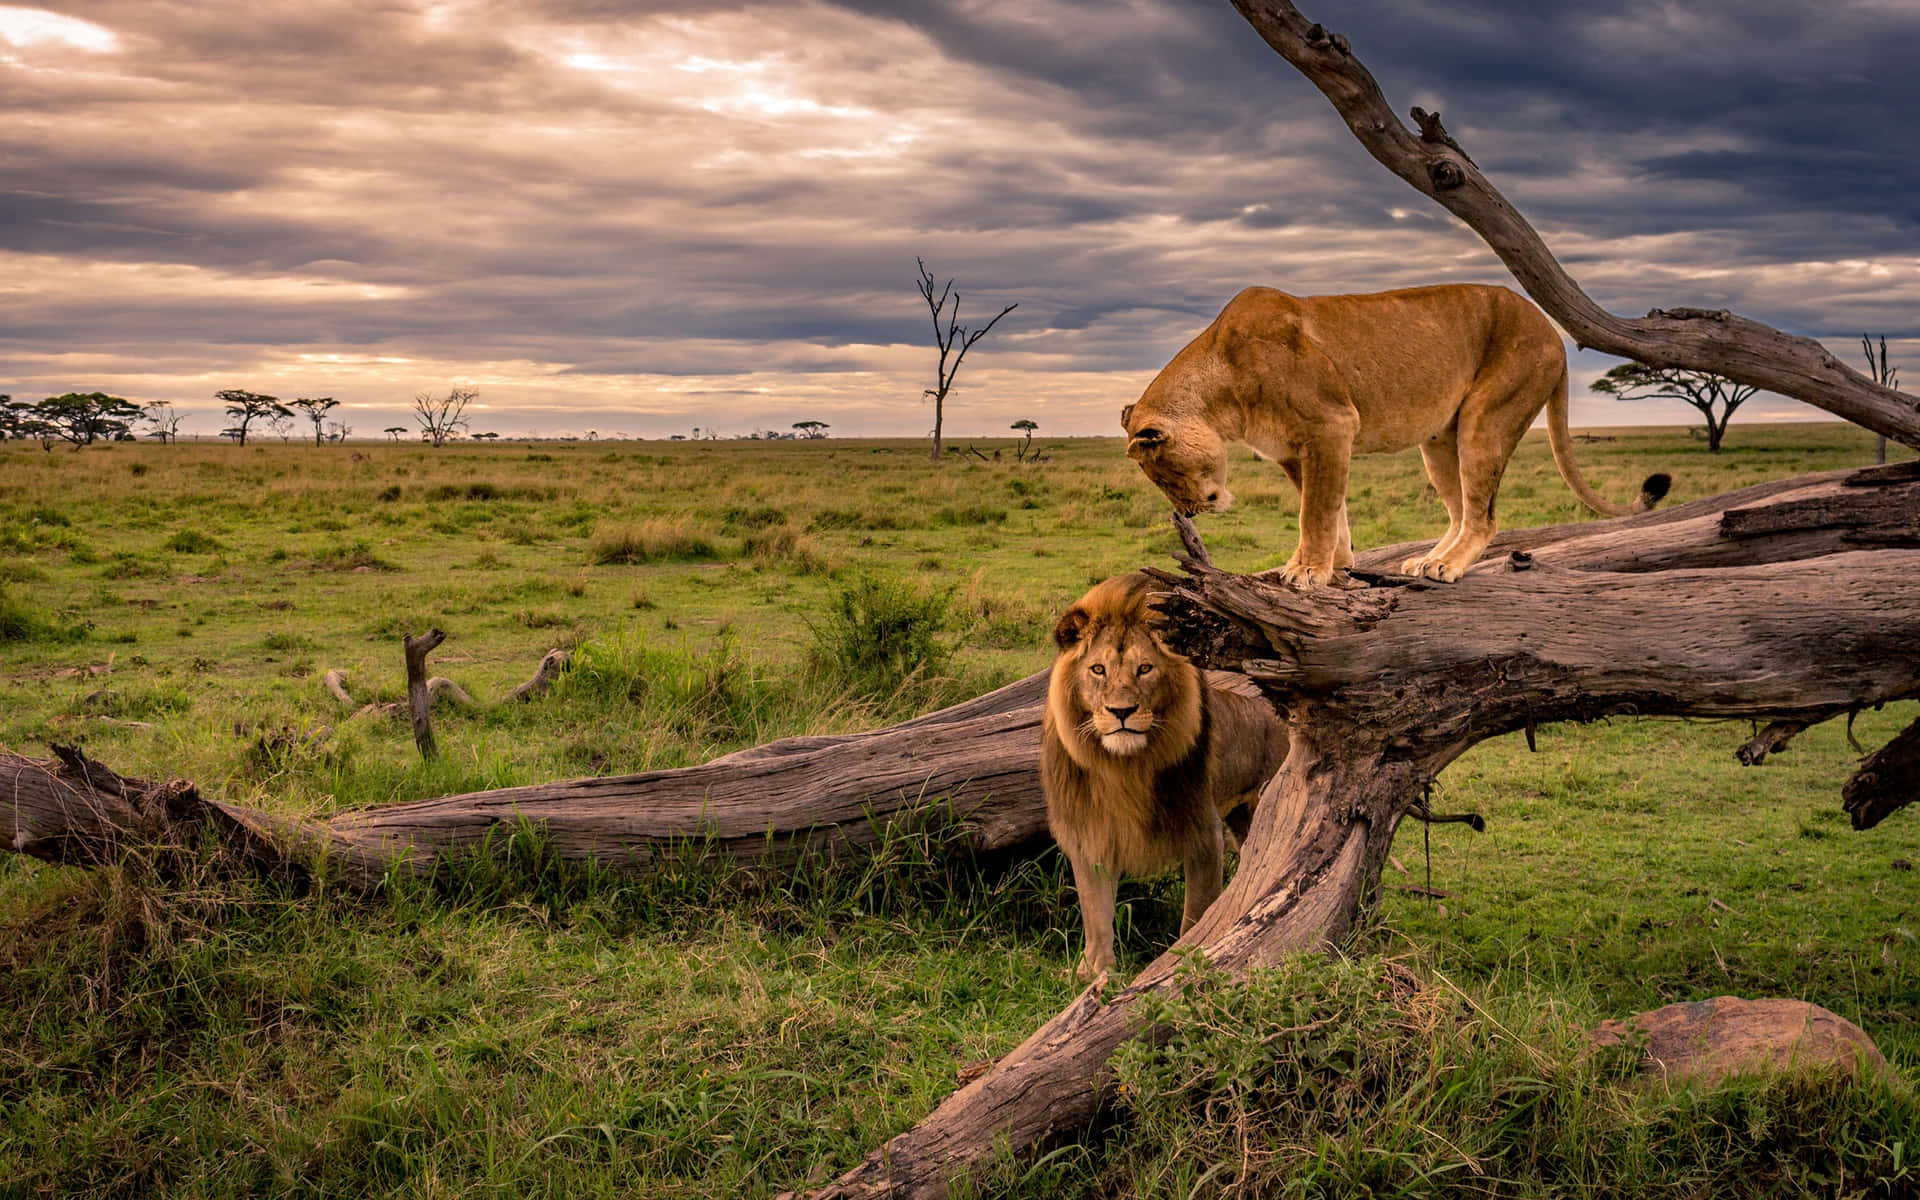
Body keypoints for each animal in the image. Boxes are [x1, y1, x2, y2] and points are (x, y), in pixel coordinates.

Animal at [1036, 572, 1290, 983]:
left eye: (1145, 669)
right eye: (1097, 670)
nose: (1121, 711)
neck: (1124, 768)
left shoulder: (1202, 833)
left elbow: (1196, 913)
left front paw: (1183, 961)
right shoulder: (1090, 834)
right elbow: (1096, 915)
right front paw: (1095, 974)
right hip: (1241, 817)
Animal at [1121, 280, 1674, 579]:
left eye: (1167, 474)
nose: (1190, 511)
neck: (1221, 391)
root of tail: (1553, 332)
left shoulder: (1331, 425)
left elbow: (1314, 512)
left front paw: (1308, 571)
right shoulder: (1295, 451)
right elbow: (1327, 510)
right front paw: (1332, 565)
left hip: (1488, 417)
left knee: (1484, 517)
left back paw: (1448, 566)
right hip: (1440, 440)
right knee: (1461, 510)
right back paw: (1427, 560)